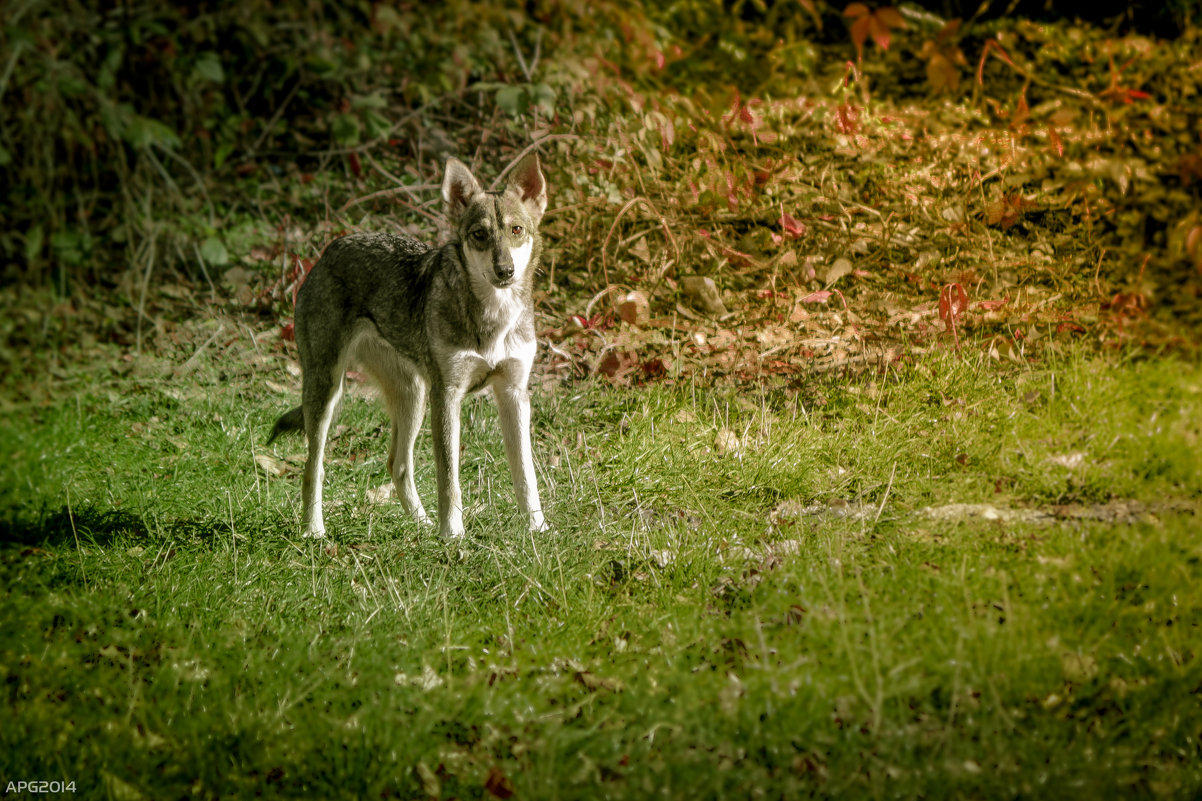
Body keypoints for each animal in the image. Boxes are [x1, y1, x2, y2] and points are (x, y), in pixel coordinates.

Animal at [268, 151, 550, 536]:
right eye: (479, 235)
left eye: (516, 230)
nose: (505, 271)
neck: (495, 315)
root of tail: (330, 249)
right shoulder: (446, 395)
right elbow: (449, 479)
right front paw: (453, 535)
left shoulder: (513, 394)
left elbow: (526, 476)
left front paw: (538, 529)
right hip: (328, 394)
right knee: (315, 469)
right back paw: (314, 531)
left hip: (413, 396)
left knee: (398, 466)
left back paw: (422, 525)